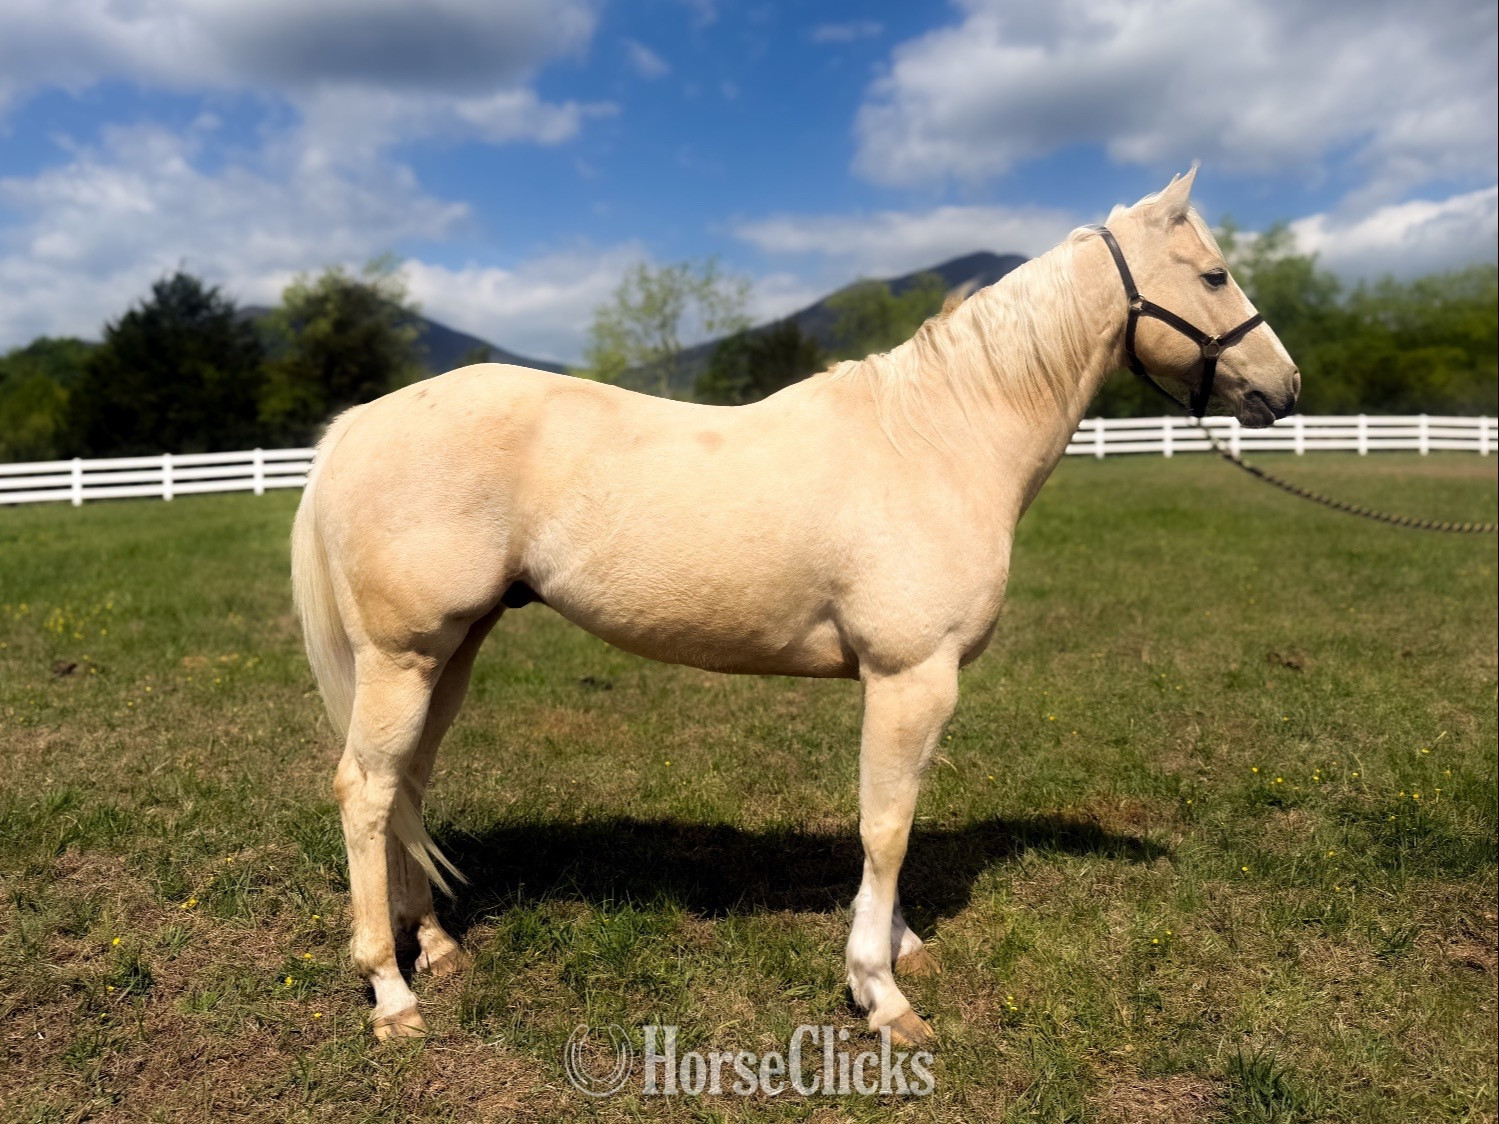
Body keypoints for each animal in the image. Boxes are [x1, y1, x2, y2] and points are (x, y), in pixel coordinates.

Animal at [290, 168, 1300, 1044]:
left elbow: (894, 818)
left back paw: (438, 948)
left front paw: (896, 947)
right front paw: (881, 994)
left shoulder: (903, 685)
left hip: (451, 651)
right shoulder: (912, 676)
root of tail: (359, 425)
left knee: (409, 784)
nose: (1282, 388)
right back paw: (391, 994)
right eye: (1213, 274)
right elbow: (885, 827)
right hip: (403, 657)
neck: (938, 438)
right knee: (366, 791)